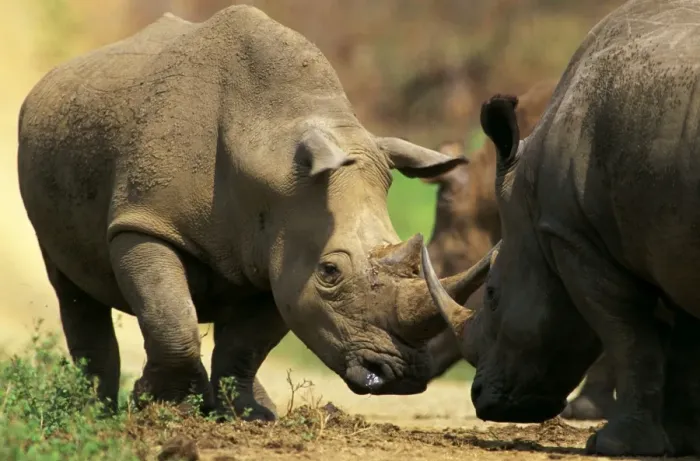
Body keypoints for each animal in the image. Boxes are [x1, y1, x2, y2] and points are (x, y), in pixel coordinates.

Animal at [17, 5, 483, 421]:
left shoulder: (280, 250)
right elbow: (172, 319)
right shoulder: (144, 224)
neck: (268, 146)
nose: (400, 375)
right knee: (71, 288)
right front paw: (164, 410)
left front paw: (248, 416)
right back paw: (90, 414)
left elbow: (246, 345)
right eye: (330, 272)